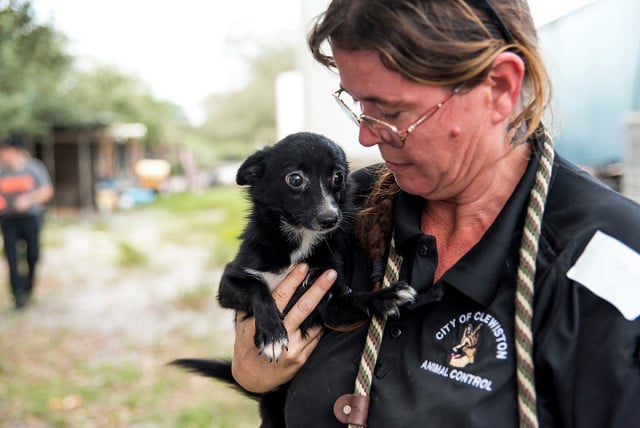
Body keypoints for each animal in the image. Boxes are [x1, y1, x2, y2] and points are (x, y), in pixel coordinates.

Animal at [174, 132, 416, 426]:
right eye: (295, 179)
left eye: (338, 177)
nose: (330, 218)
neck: (300, 240)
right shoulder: (230, 282)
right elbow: (258, 289)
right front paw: (273, 335)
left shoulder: (329, 302)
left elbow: (357, 298)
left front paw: (386, 297)